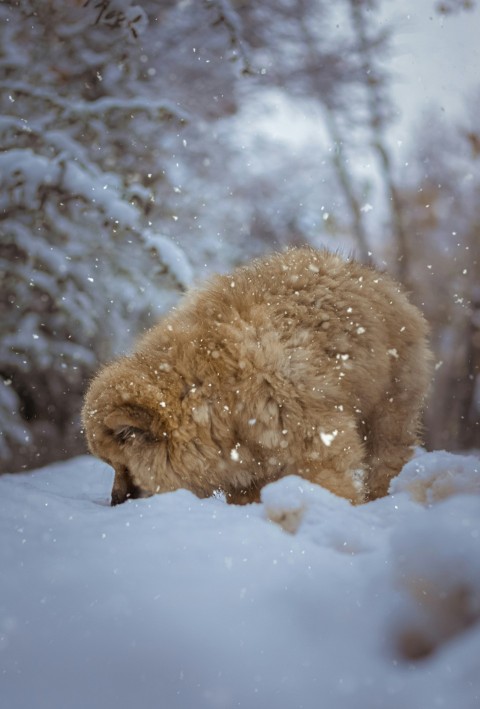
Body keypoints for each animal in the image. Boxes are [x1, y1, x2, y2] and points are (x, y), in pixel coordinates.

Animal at [81, 248, 432, 504]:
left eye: (122, 465)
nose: (114, 501)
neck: (211, 389)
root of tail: (374, 278)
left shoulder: (315, 439)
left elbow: (330, 480)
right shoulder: (246, 466)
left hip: (389, 409)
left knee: (386, 459)